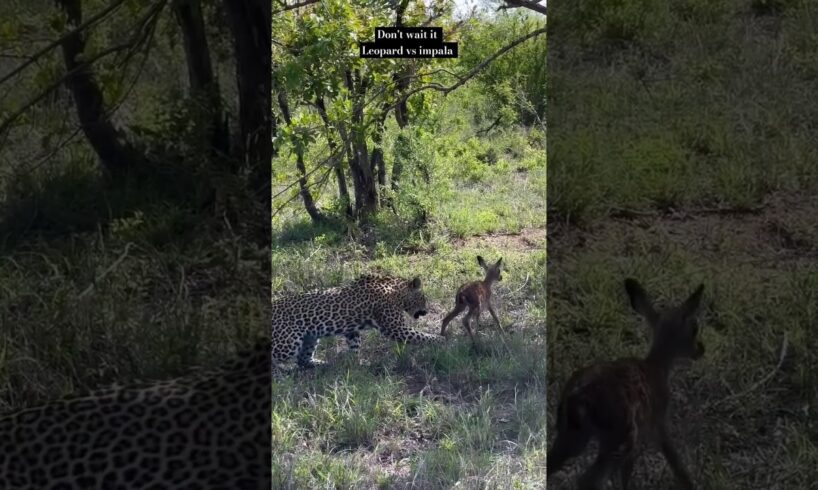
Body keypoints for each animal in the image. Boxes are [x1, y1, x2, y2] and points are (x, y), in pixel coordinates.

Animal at [270, 272, 444, 368]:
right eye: (423, 297)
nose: (427, 311)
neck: (397, 292)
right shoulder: (396, 328)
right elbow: (421, 336)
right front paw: (441, 339)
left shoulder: (351, 330)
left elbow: (354, 346)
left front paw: (355, 364)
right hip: (289, 340)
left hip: (311, 336)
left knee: (303, 359)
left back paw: (324, 364)